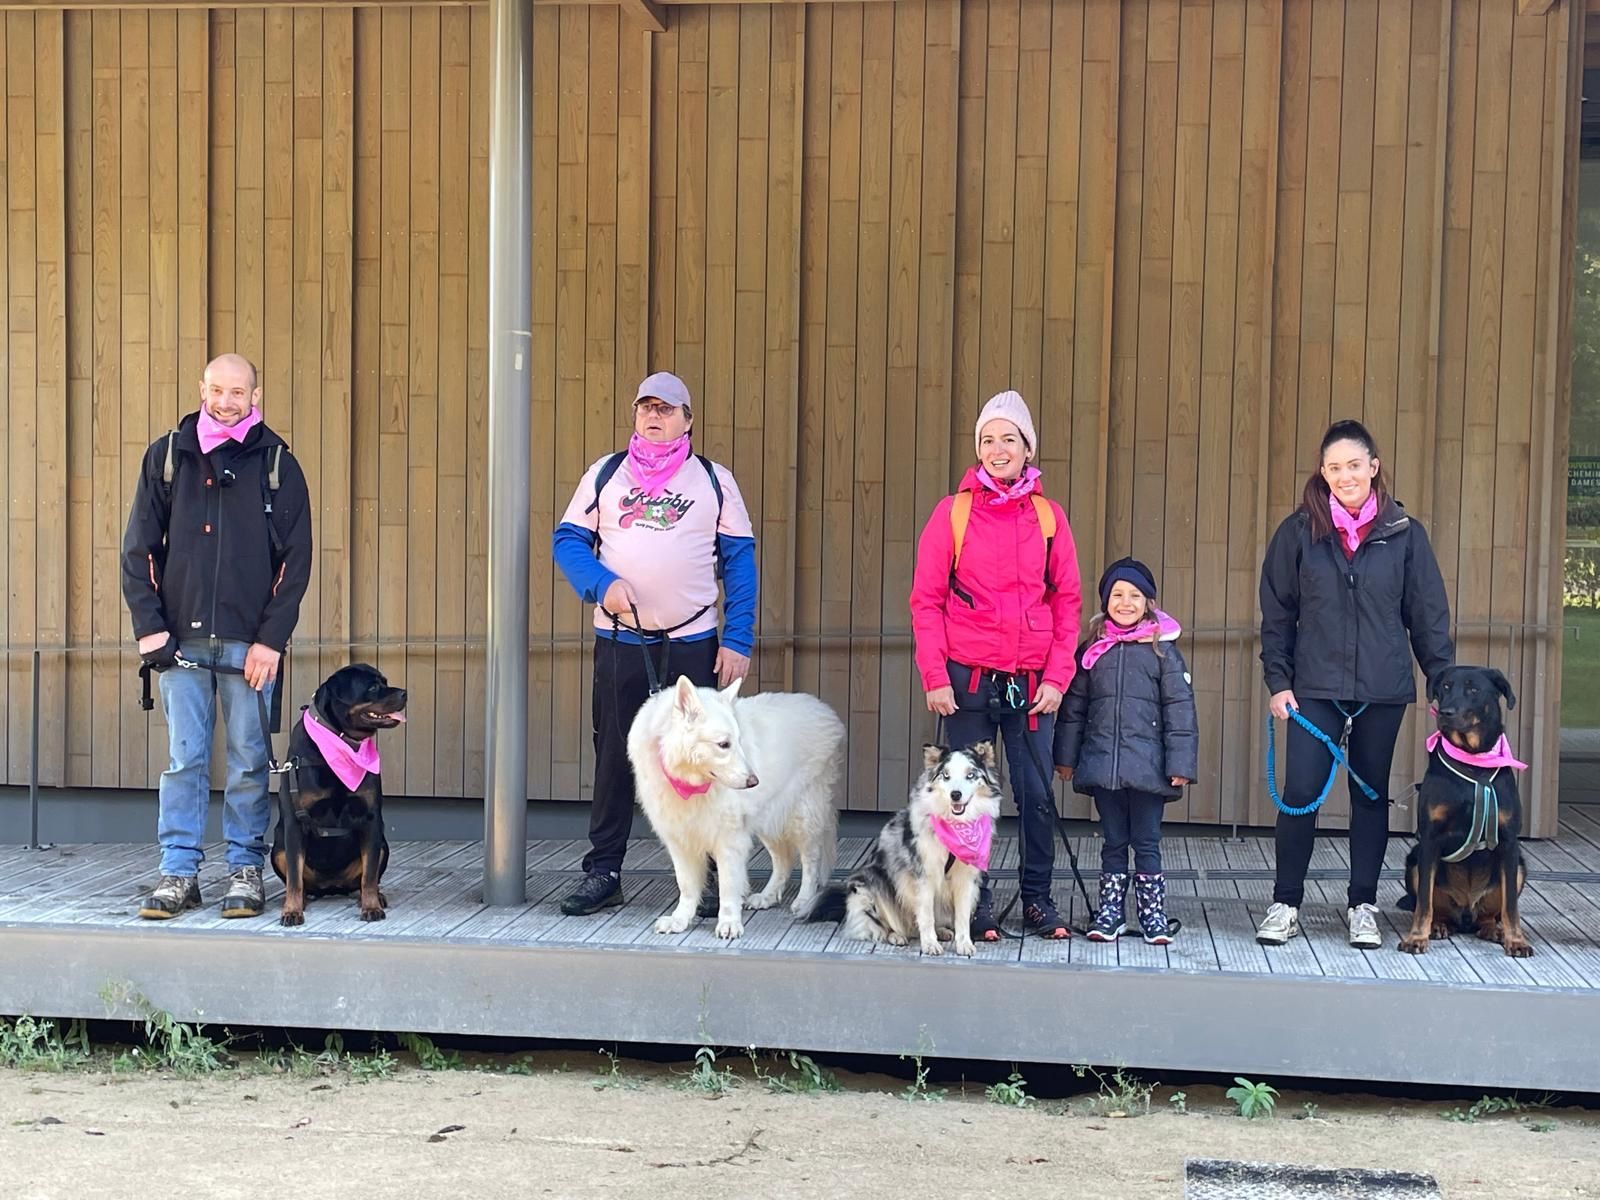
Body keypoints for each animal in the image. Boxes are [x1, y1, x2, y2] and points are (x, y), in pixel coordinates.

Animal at [627, 678, 844, 940]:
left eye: (738, 742)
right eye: (723, 745)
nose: (754, 782)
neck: (690, 783)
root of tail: (823, 709)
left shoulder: (730, 840)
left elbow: (728, 886)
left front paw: (729, 922)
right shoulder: (680, 840)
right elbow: (686, 885)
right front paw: (680, 919)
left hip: (803, 817)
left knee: (810, 860)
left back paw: (804, 899)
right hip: (768, 819)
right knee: (783, 859)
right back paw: (767, 896)